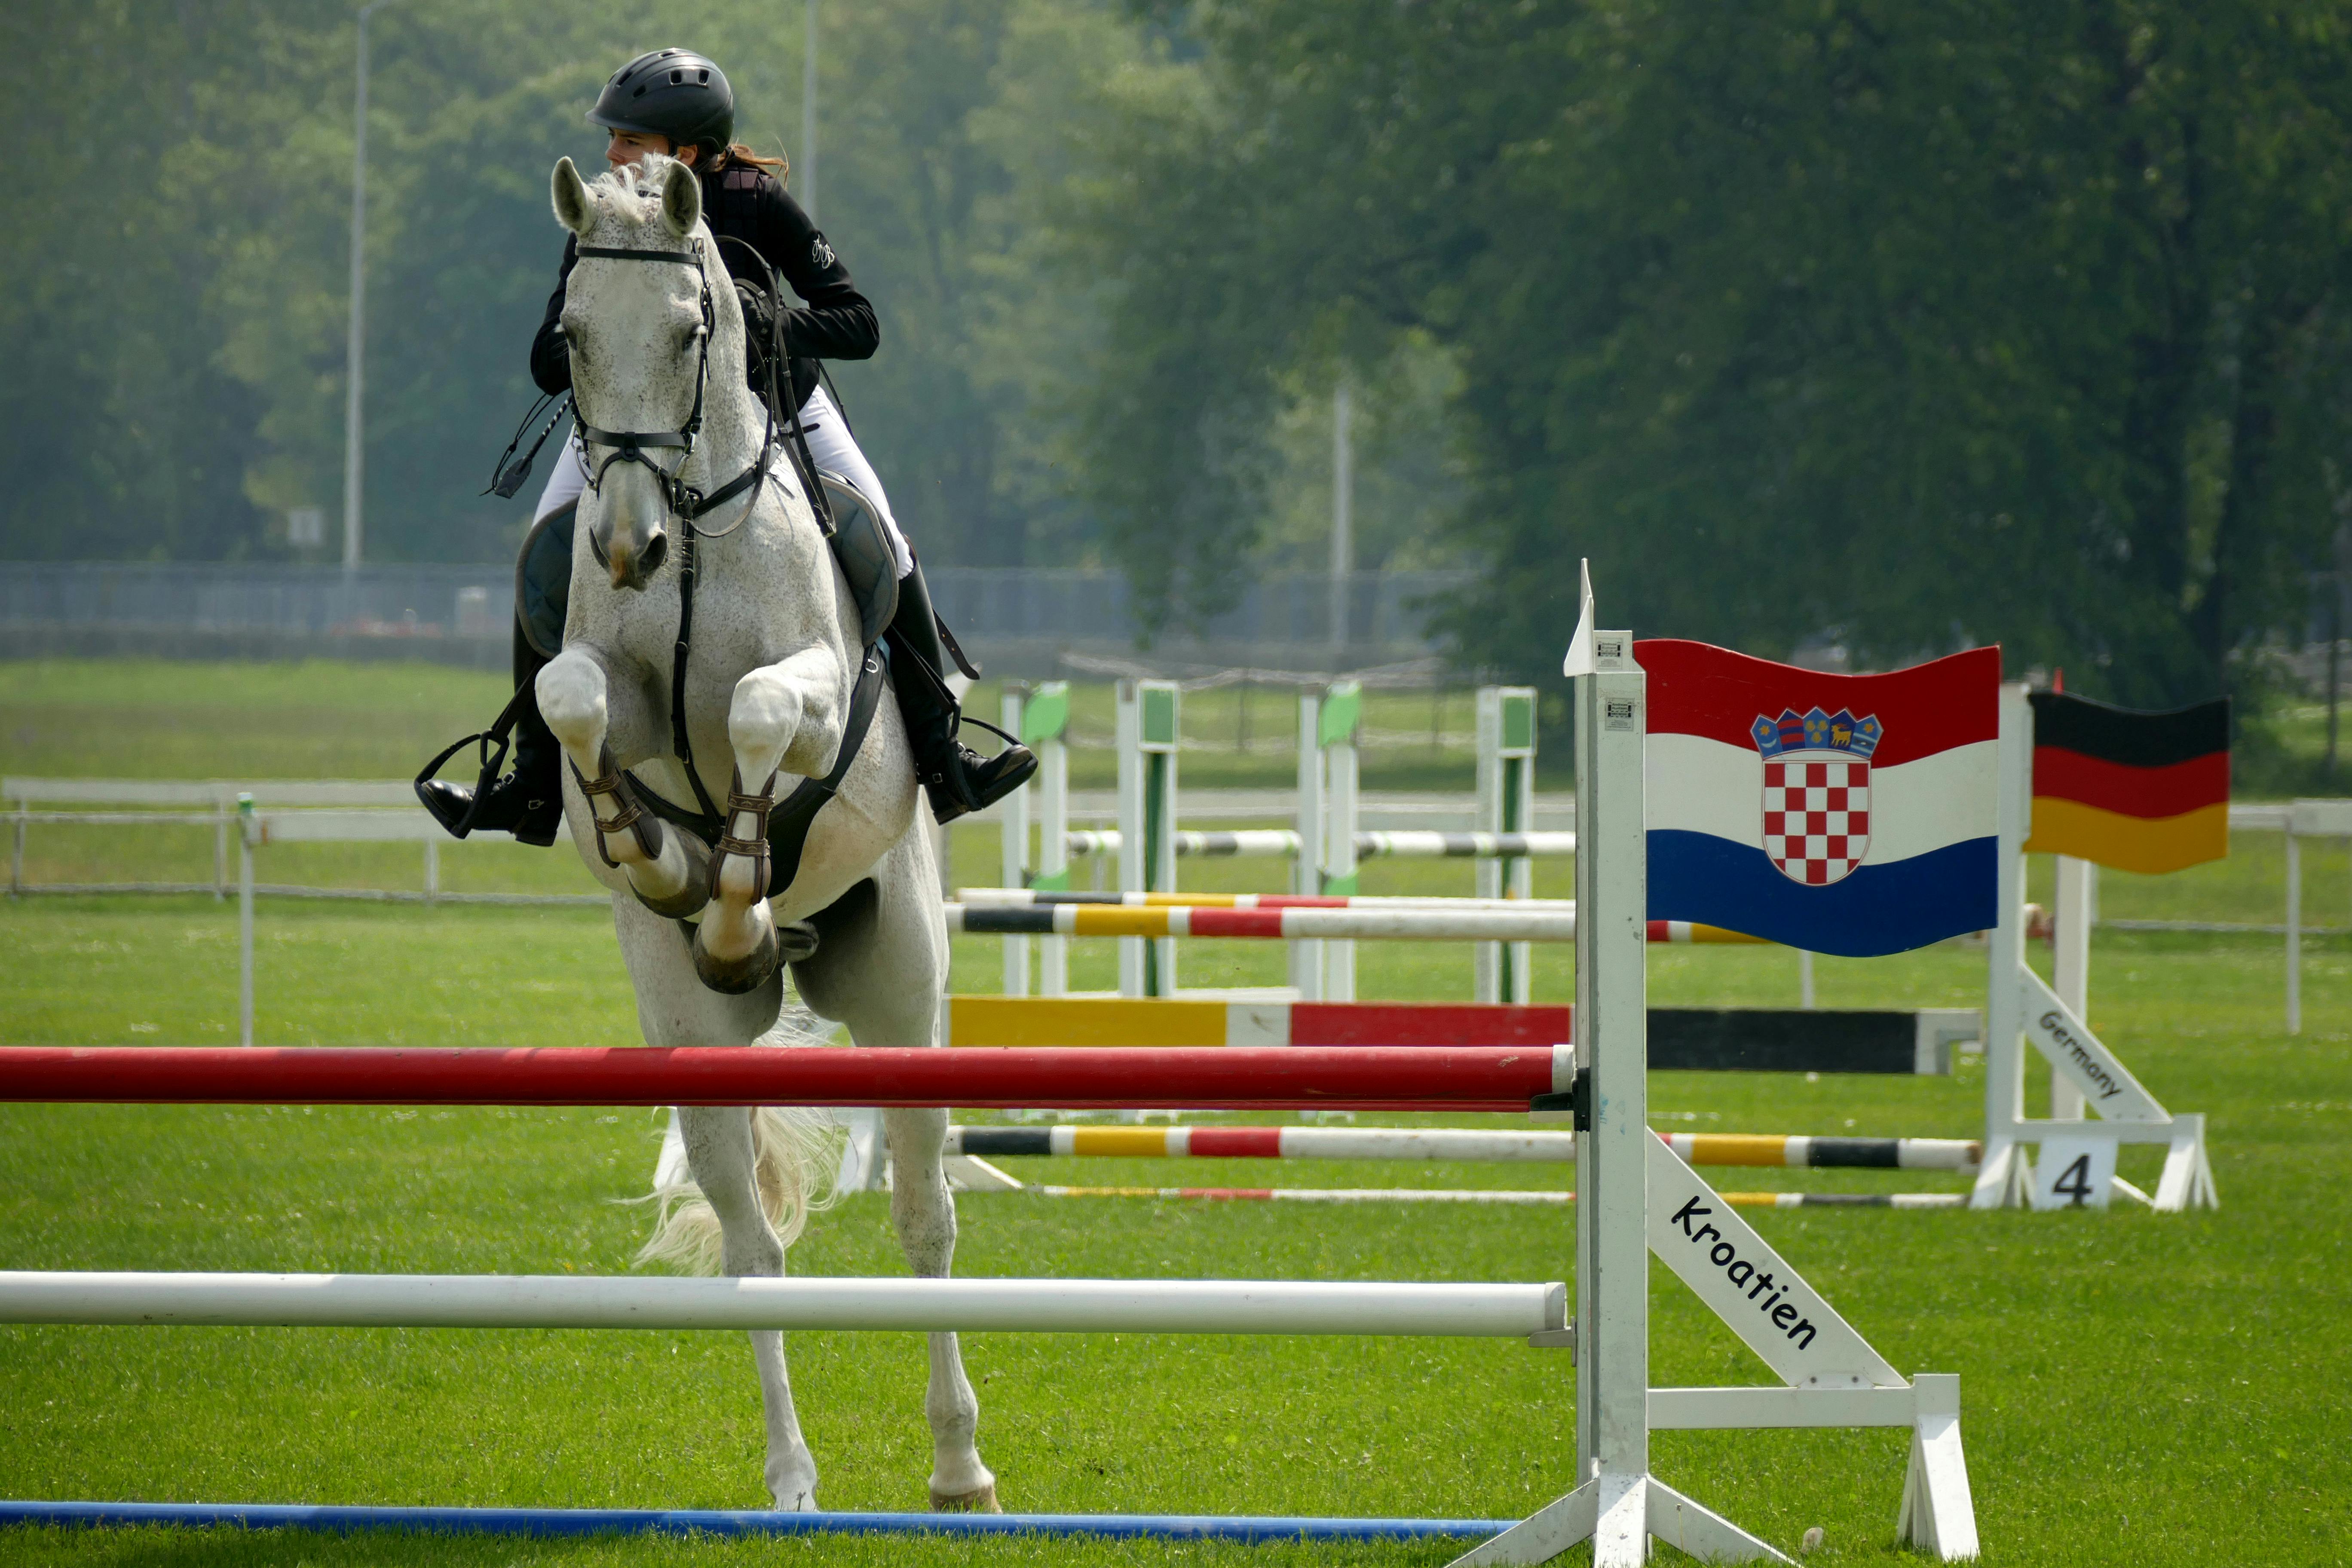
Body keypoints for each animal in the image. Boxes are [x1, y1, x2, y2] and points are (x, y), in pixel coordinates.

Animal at [531, 153, 992, 1514]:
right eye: (573, 337)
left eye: (695, 330)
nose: (627, 548)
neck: (693, 533)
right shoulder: (605, 682)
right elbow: (572, 702)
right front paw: (659, 854)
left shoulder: (817, 687)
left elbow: (759, 711)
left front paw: (736, 879)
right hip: (694, 1039)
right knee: (750, 1241)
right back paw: (791, 1478)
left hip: (901, 994)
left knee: (923, 1217)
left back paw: (960, 1466)